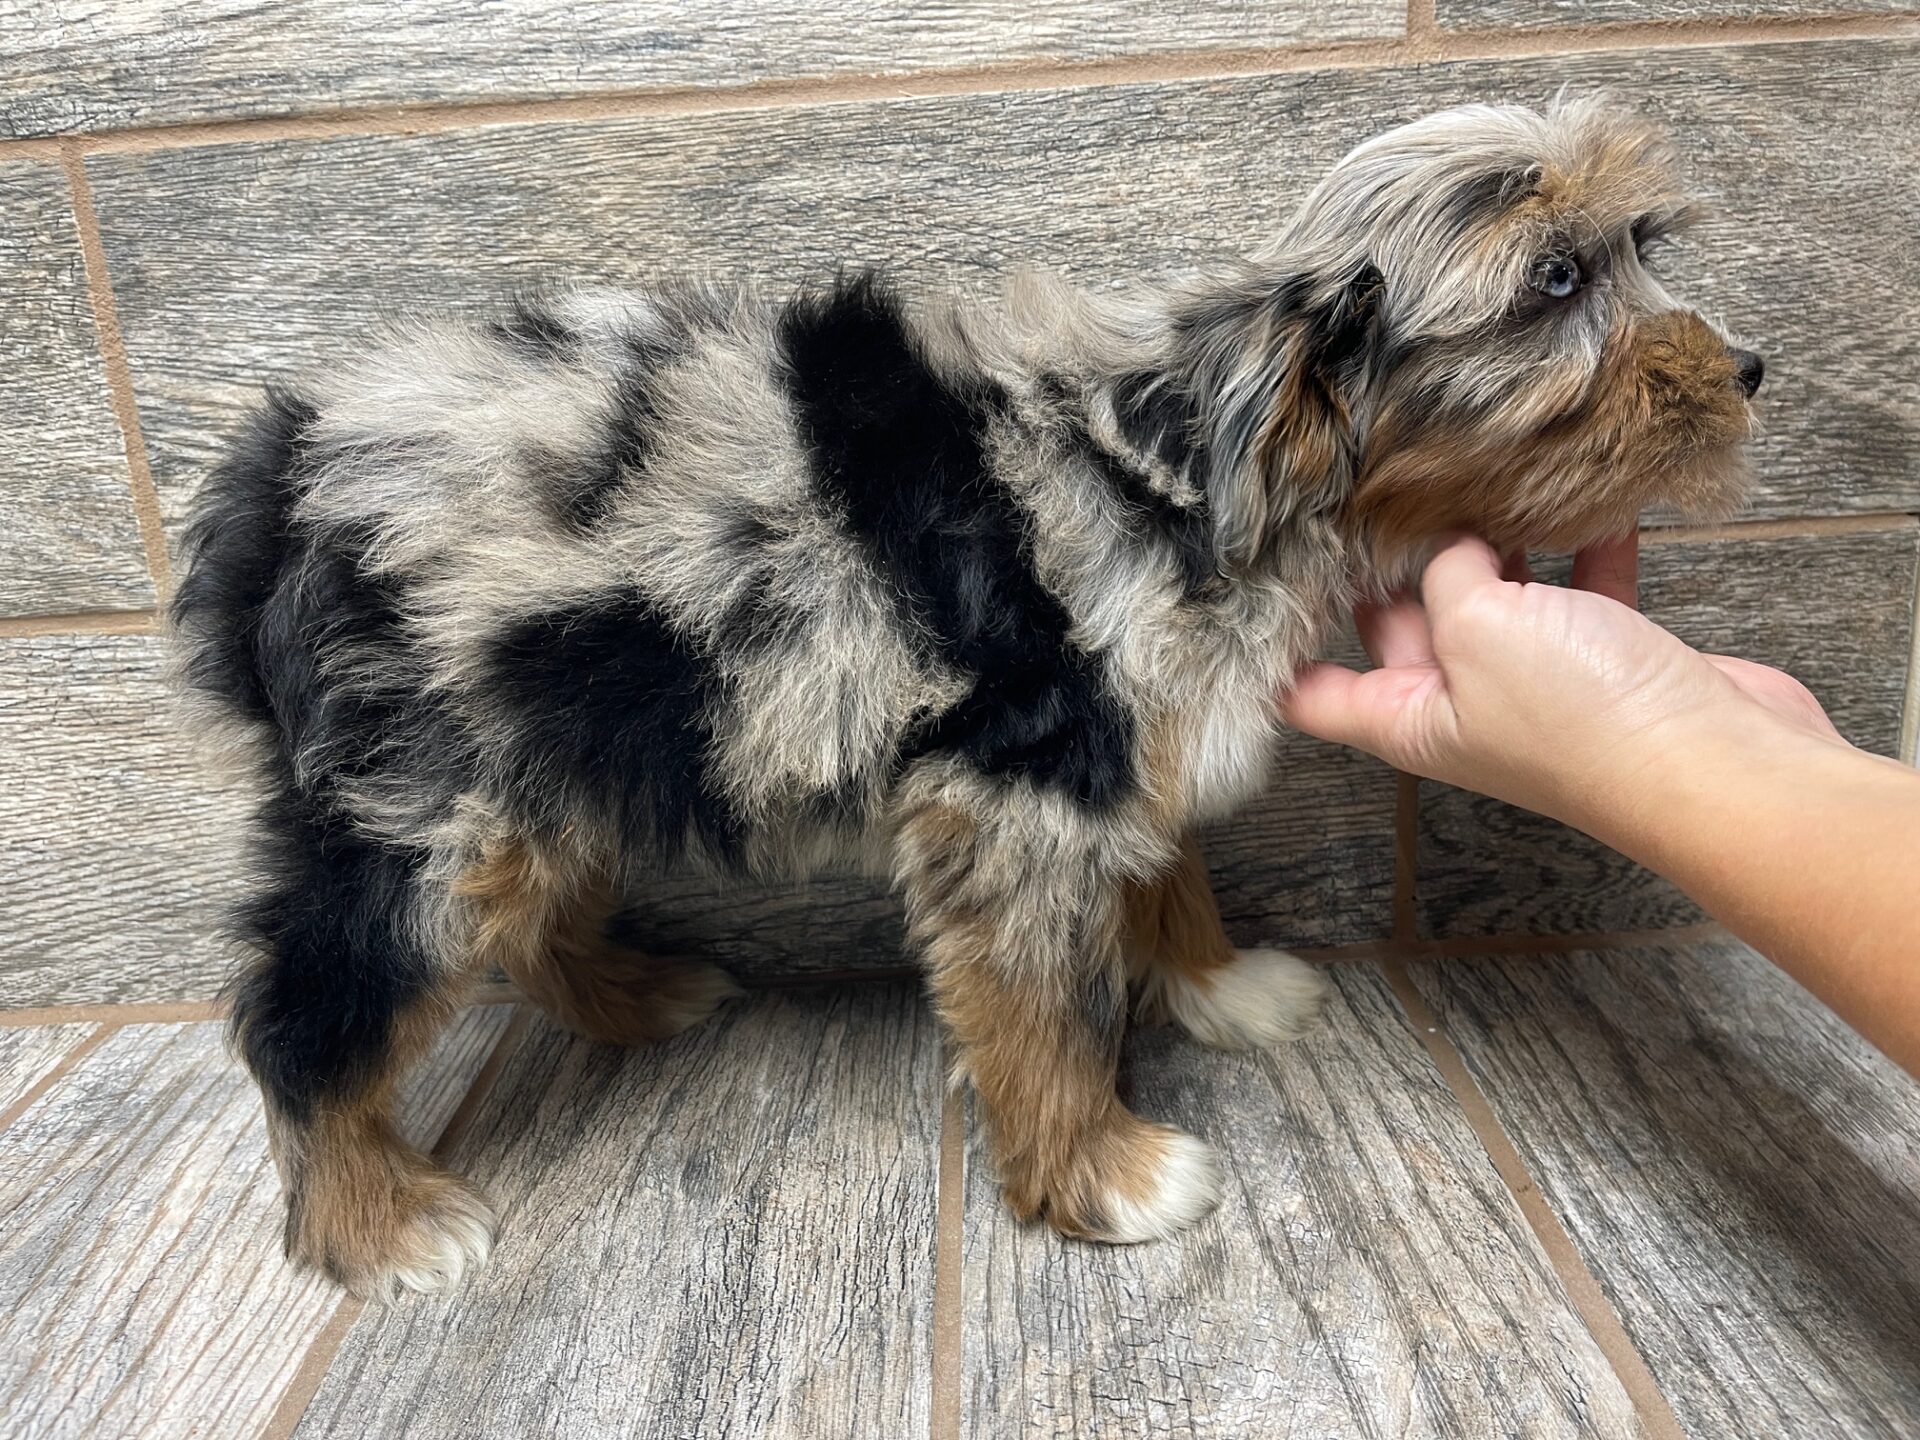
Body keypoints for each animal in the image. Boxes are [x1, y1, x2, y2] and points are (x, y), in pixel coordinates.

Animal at [170, 94, 1761, 1299]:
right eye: (1556, 283)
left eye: (1634, 249)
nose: (1748, 367)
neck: (1191, 459)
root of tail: (279, 487)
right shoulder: (1020, 789)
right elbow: (1040, 1007)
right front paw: (1104, 1174)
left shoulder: (1114, 749)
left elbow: (1164, 865)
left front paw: (1218, 982)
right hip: (429, 791)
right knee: (309, 1004)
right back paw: (377, 1223)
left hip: (543, 746)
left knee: (526, 913)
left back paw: (632, 993)